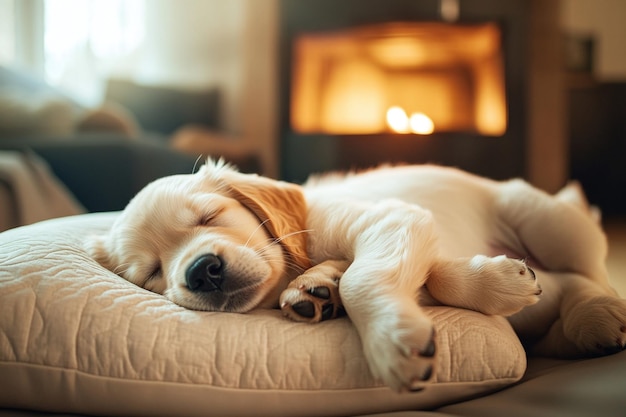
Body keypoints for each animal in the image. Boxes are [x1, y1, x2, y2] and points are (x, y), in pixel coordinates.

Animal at [89, 158, 624, 390]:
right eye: (152, 272)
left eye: (209, 216)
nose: (202, 271)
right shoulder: (400, 227)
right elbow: (424, 273)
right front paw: (316, 290)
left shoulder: (390, 217)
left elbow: (364, 277)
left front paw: (394, 341)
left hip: (549, 221)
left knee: (588, 273)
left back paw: (598, 312)